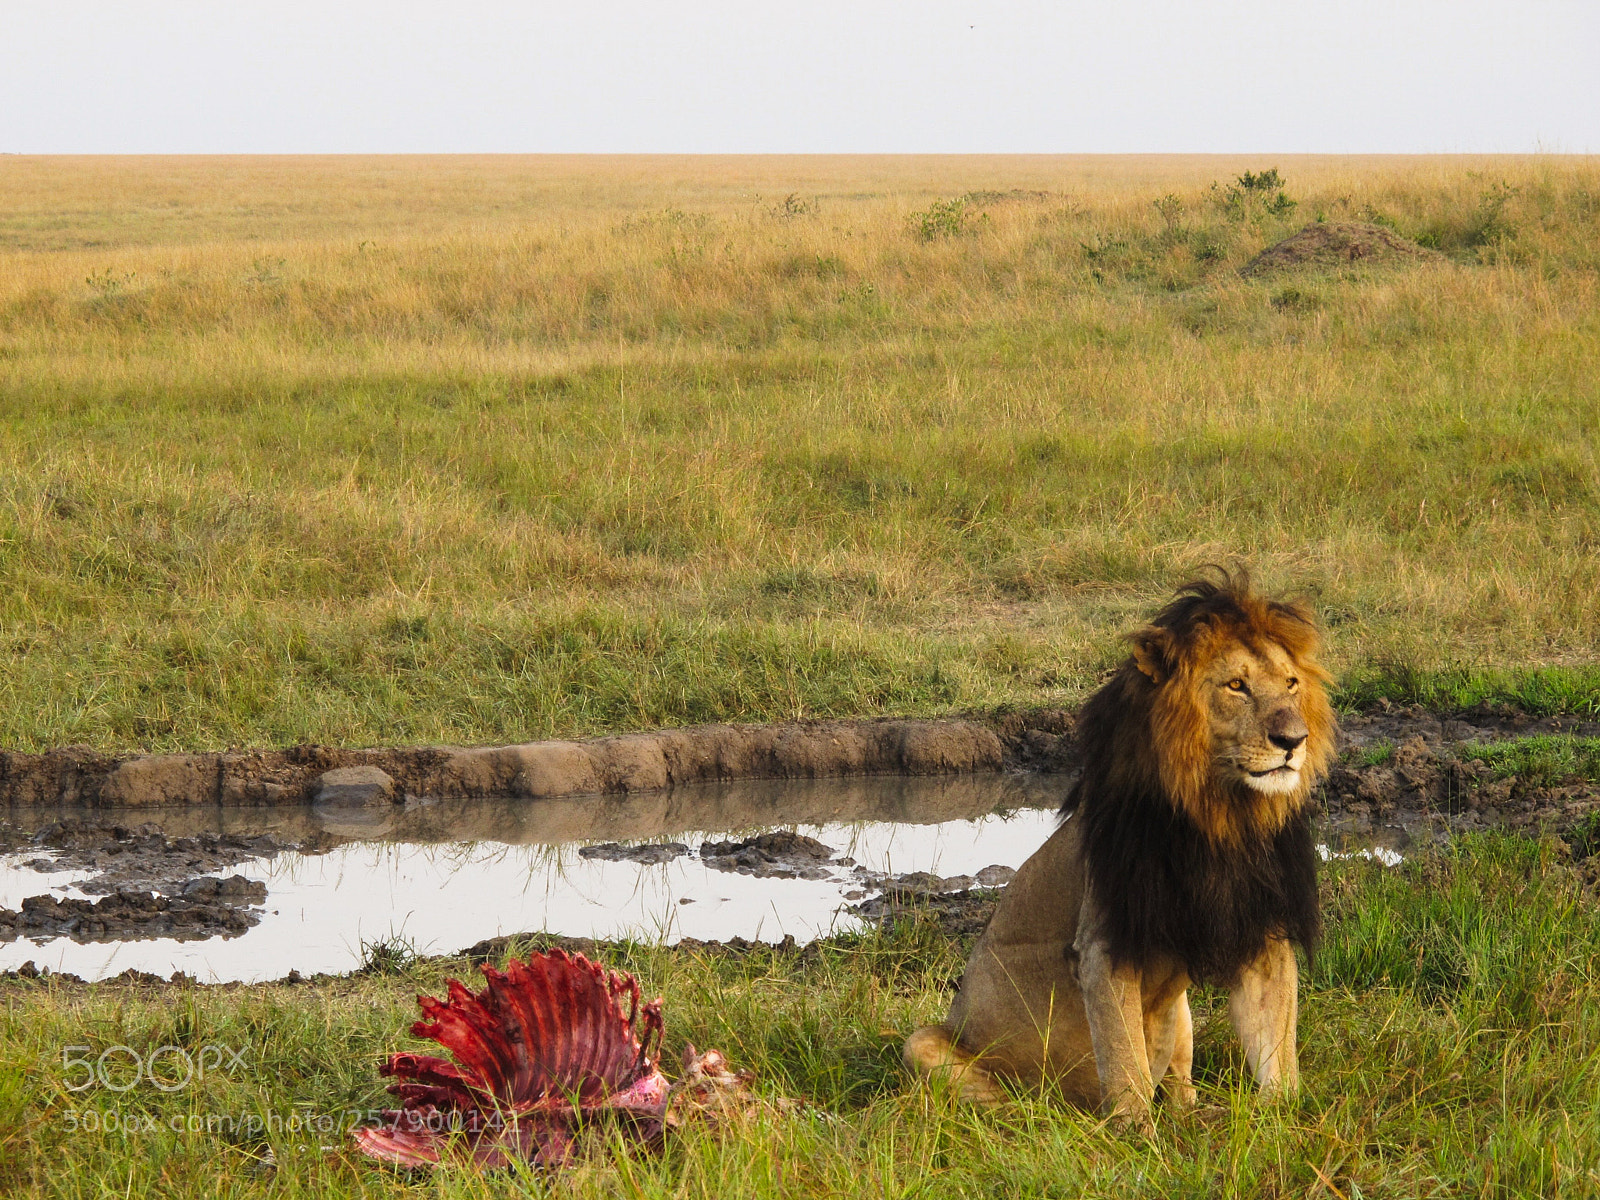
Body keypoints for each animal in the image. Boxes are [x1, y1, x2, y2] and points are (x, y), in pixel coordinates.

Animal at [902, 572, 1337, 1126]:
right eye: (1236, 685)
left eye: (1291, 684)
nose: (1293, 739)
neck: (1222, 818)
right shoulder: (1105, 946)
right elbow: (1126, 1064)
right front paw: (1136, 1136)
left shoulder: (1264, 934)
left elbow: (1278, 1050)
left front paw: (1289, 1121)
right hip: (926, 1044)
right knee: (1009, 1100)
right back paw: (1048, 1117)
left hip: (1183, 1014)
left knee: (1179, 1084)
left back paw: (1198, 1116)